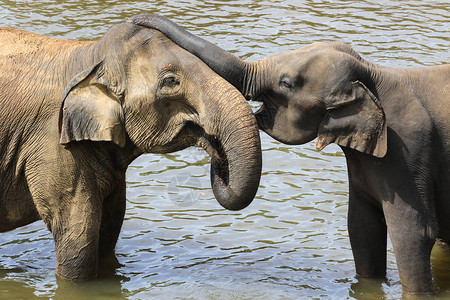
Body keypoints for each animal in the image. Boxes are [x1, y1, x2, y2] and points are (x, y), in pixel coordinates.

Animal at [0, 18, 262, 282]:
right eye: (171, 81)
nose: (218, 154)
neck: (90, 56)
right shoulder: (54, 142)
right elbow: (77, 243)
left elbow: (109, 230)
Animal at [134, 14, 450, 296]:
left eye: (286, 83)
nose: (138, 20)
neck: (372, 71)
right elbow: (361, 228)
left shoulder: (407, 154)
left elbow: (412, 236)